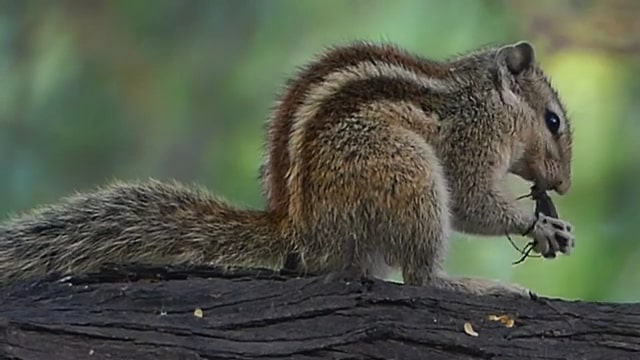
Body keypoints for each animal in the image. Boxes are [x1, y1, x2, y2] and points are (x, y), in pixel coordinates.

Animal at [0, 40, 576, 296]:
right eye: (552, 120)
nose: (564, 186)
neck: (485, 98)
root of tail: (302, 228)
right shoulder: (468, 144)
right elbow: (473, 200)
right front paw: (541, 224)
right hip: (405, 171)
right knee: (420, 277)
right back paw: (475, 286)